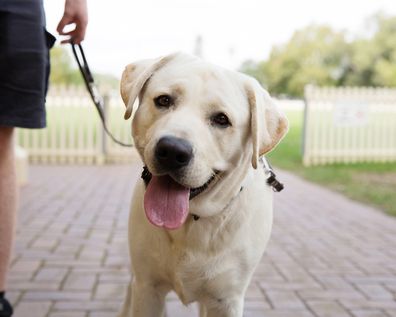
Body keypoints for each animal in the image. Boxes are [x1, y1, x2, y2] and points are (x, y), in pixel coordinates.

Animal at [117, 53, 288, 314]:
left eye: (221, 119)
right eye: (164, 100)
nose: (172, 151)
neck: (191, 221)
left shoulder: (226, 299)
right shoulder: (147, 287)